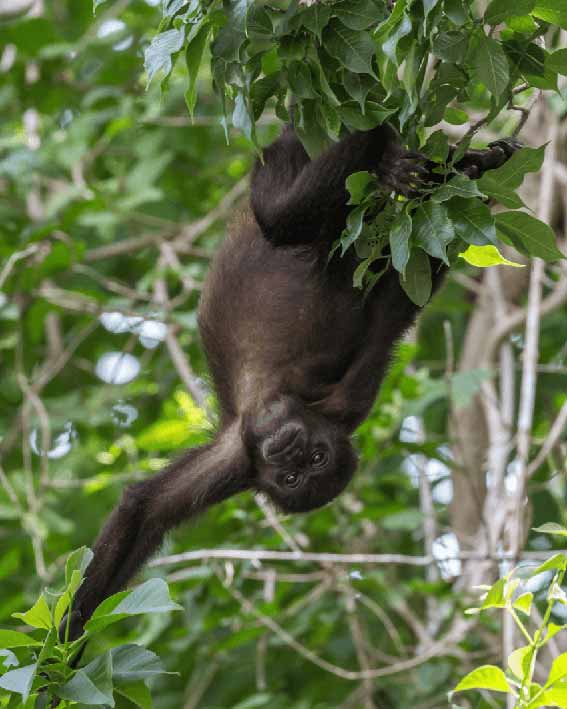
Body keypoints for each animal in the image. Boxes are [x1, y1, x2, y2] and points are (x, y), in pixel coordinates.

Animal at [69, 123, 520, 636]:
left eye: (307, 466)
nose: (290, 451)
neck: (279, 402)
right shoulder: (263, 444)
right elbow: (141, 509)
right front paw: (63, 646)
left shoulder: (253, 453)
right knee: (284, 214)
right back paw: (397, 150)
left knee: (285, 214)